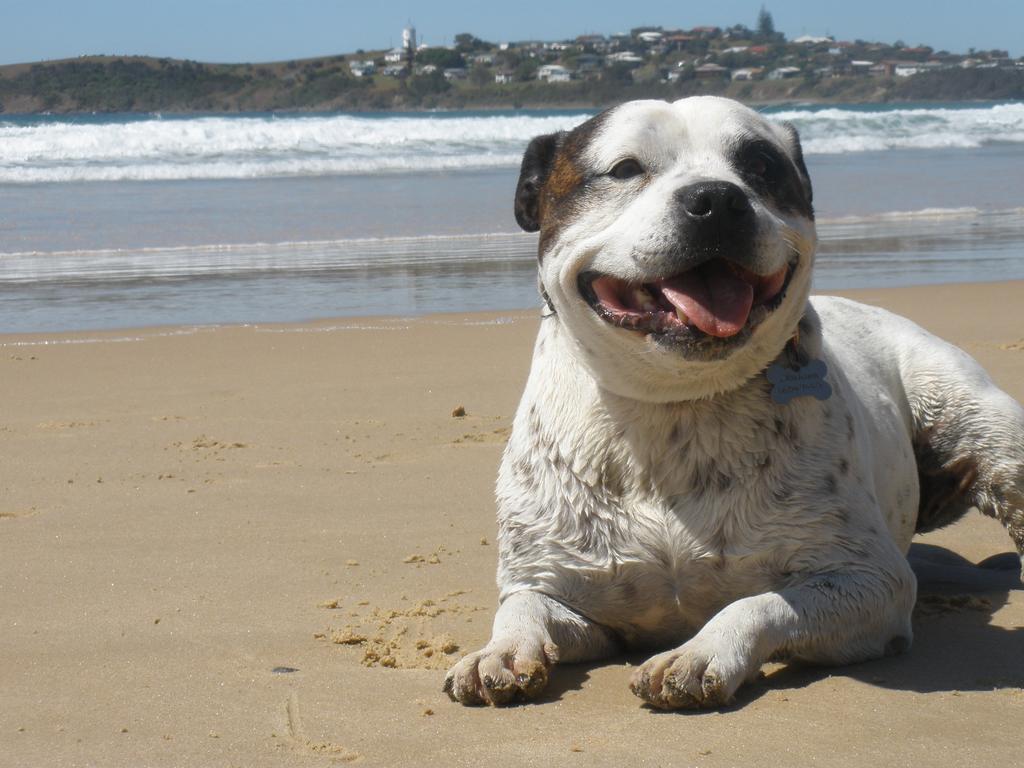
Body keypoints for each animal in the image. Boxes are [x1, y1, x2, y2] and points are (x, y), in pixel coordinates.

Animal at [442, 99, 1024, 712]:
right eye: (624, 169)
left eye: (761, 167)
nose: (717, 198)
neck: (674, 404)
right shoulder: (559, 585)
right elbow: (522, 608)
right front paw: (500, 653)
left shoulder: (868, 581)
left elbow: (758, 603)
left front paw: (699, 652)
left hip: (982, 426)